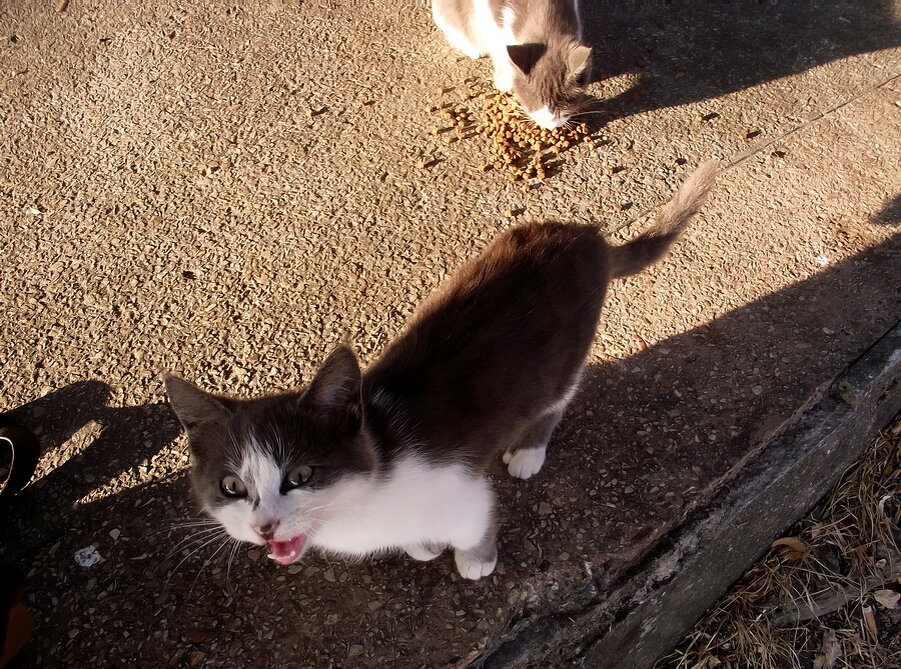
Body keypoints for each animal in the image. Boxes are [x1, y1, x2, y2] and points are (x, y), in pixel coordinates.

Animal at [165, 162, 716, 580]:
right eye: (231, 487)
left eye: (301, 475)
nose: (265, 527)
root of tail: (588, 236)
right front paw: (423, 545)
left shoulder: (460, 488)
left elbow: (475, 521)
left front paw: (476, 559)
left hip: (565, 355)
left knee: (558, 397)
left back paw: (528, 450)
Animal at [434, 0, 596, 129]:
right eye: (530, 107)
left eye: (565, 111)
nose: (550, 127)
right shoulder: (486, 15)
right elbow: (498, 49)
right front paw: (504, 81)